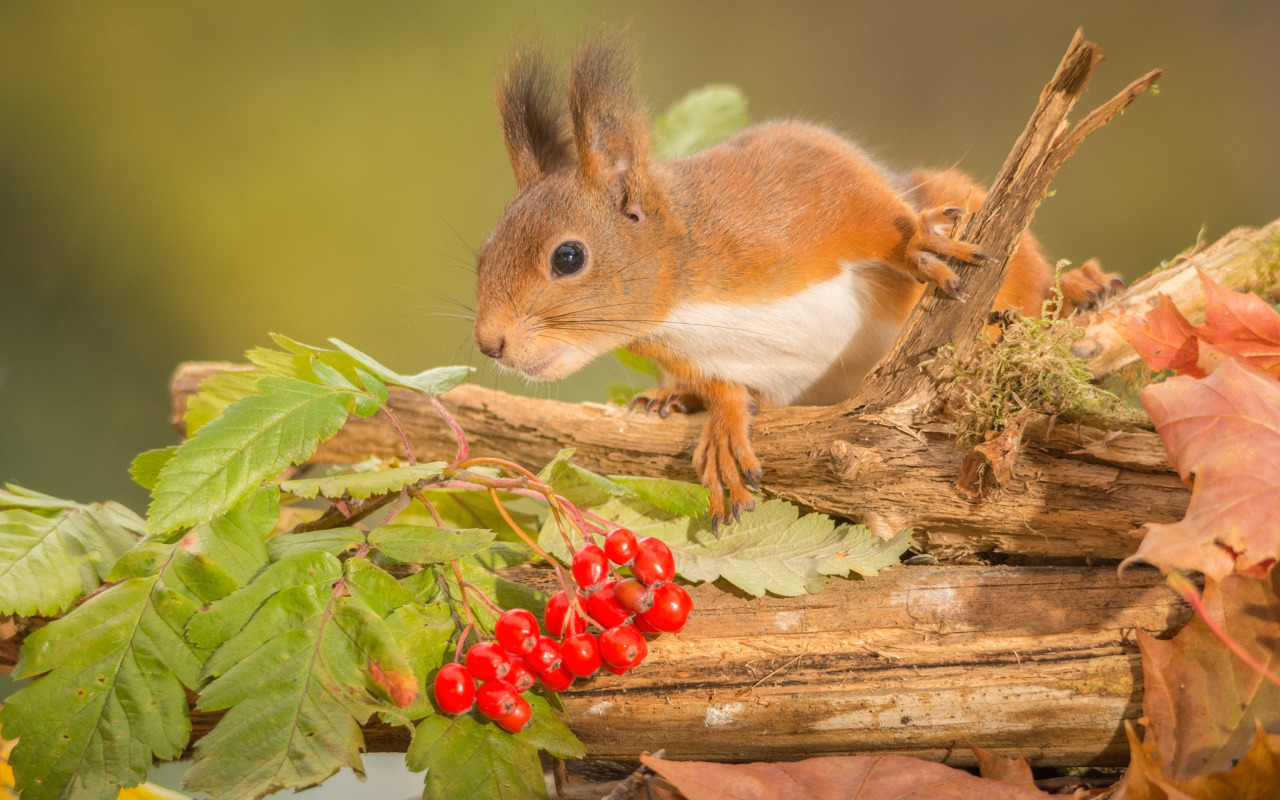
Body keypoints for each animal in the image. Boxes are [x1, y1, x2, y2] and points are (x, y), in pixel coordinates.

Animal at [471, 37, 1121, 527]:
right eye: (481, 256)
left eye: (568, 257)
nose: (490, 343)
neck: (685, 302)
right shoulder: (712, 358)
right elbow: (726, 388)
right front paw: (723, 425)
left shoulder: (795, 182)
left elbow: (869, 211)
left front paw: (915, 243)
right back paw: (669, 398)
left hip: (970, 210)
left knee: (1029, 280)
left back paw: (1081, 288)